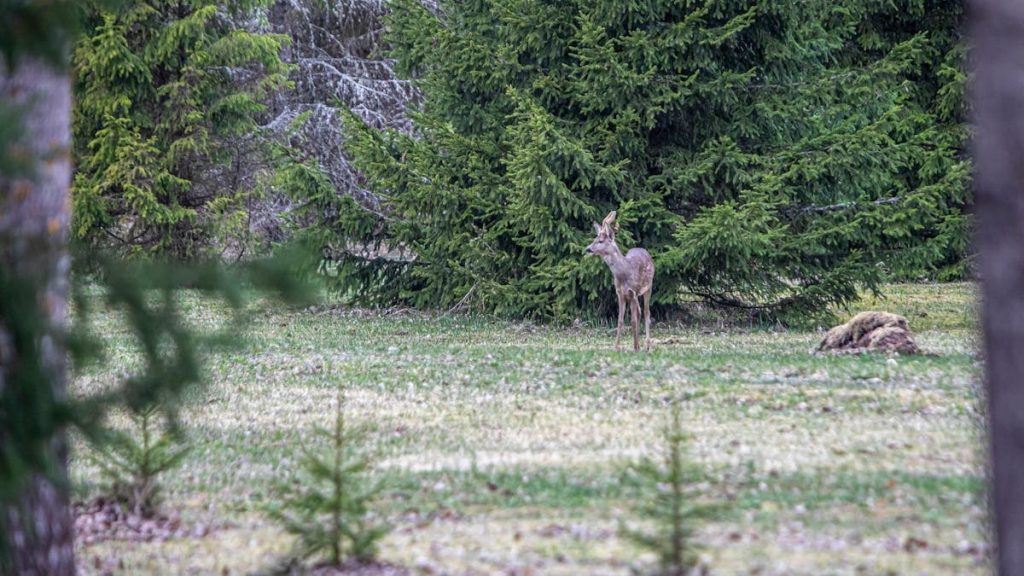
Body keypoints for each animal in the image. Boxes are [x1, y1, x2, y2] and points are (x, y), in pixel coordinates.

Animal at [585, 211, 655, 352]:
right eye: (594, 239)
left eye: (600, 241)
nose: (587, 249)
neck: (624, 274)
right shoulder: (620, 293)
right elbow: (620, 320)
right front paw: (617, 347)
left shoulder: (632, 291)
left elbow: (633, 320)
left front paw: (635, 347)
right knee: (639, 311)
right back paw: (640, 344)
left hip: (648, 287)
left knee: (646, 312)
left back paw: (646, 345)